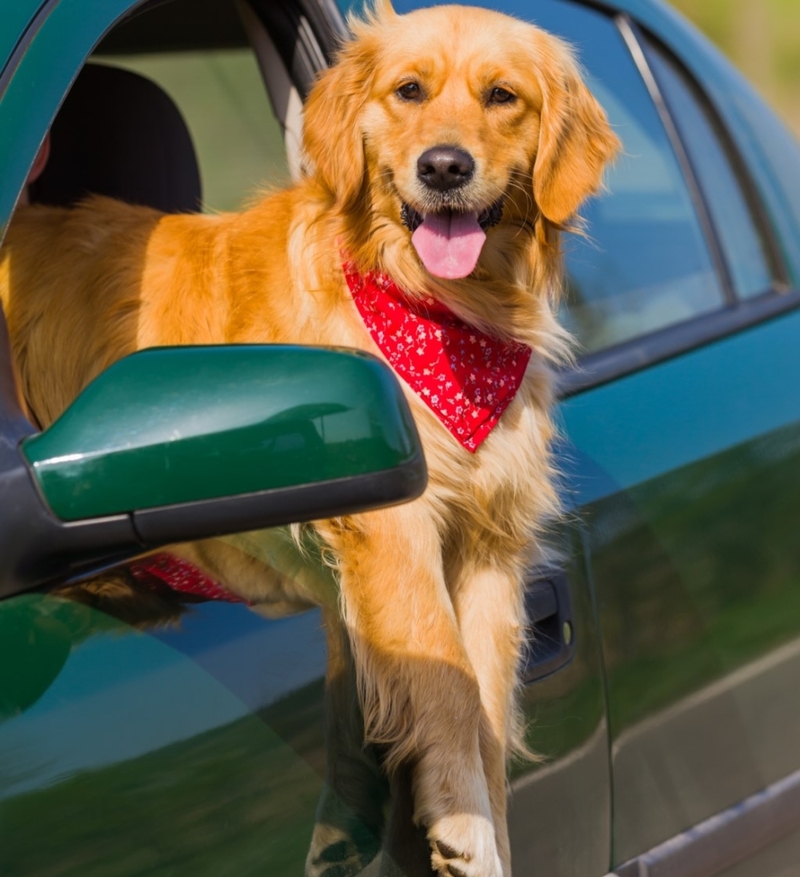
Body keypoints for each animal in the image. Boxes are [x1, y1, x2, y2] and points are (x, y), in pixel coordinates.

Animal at [0, 3, 620, 872]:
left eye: (503, 96)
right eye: (408, 90)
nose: (444, 167)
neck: (431, 310)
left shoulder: (492, 546)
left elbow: (490, 707)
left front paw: (479, 828)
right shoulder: (394, 528)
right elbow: (449, 682)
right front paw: (464, 826)